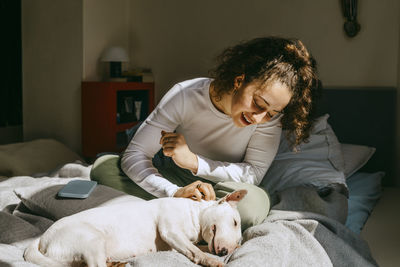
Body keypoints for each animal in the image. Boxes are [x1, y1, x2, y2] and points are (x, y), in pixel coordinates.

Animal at [24, 189, 247, 266]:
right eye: (235, 222)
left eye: (239, 243)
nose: (224, 252)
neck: (194, 215)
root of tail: (42, 240)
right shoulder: (170, 231)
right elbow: (194, 251)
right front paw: (212, 261)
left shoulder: (176, 243)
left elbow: (195, 248)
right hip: (92, 240)